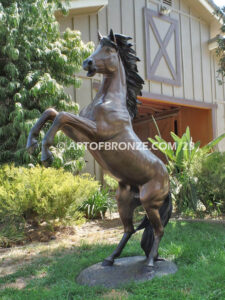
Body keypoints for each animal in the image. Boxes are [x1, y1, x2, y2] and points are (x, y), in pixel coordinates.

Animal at [26, 29, 171, 268]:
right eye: (97, 46)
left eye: (109, 49)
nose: (87, 62)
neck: (109, 101)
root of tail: (168, 181)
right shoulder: (80, 135)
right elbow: (53, 112)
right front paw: (32, 144)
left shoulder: (96, 133)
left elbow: (62, 115)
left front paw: (46, 154)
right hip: (124, 202)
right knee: (129, 229)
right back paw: (110, 259)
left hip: (150, 203)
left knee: (157, 230)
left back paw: (150, 261)